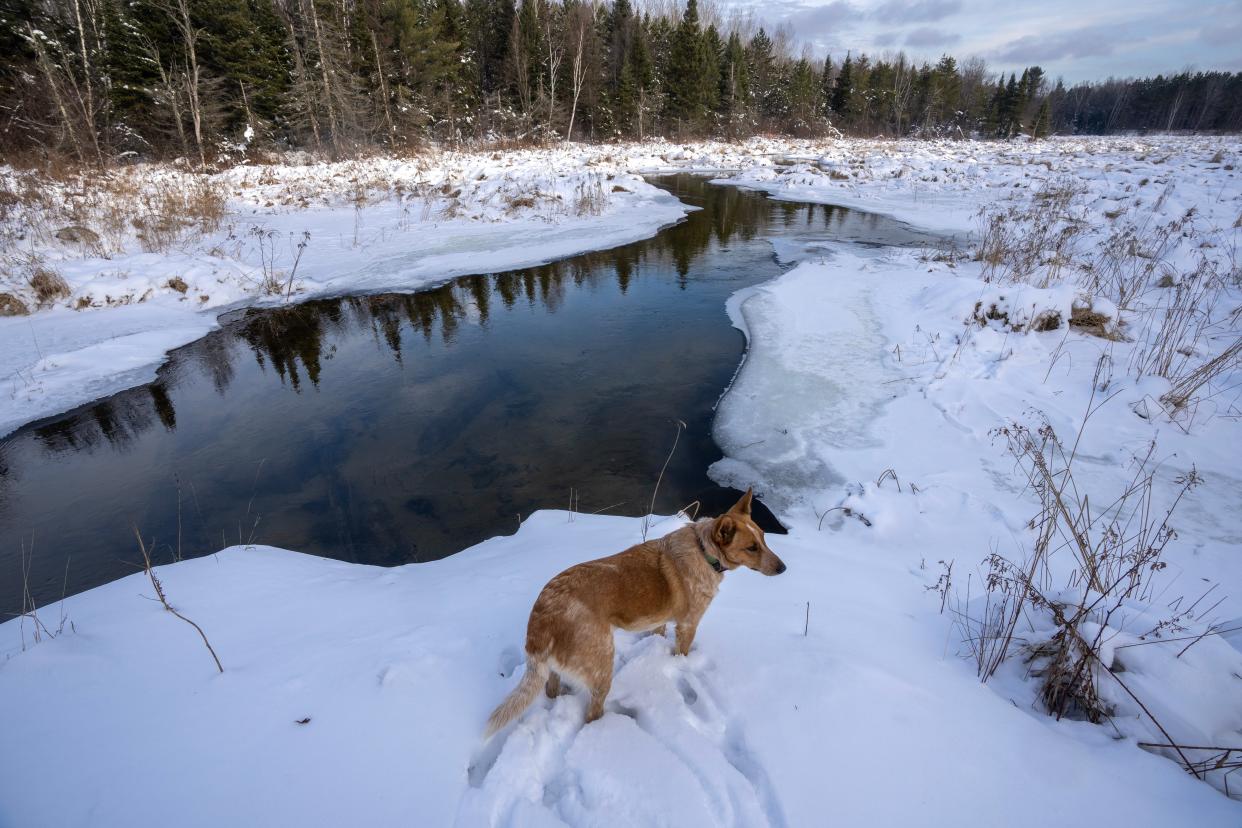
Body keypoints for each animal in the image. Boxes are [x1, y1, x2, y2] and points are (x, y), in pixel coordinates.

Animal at [481, 486, 779, 739]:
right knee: (592, 712)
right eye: (751, 547)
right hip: (602, 664)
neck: (704, 550)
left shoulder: (660, 619)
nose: (783, 568)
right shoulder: (688, 624)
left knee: (551, 688)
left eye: (764, 538)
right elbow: (681, 652)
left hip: (555, 669)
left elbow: (658, 633)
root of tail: (541, 619)